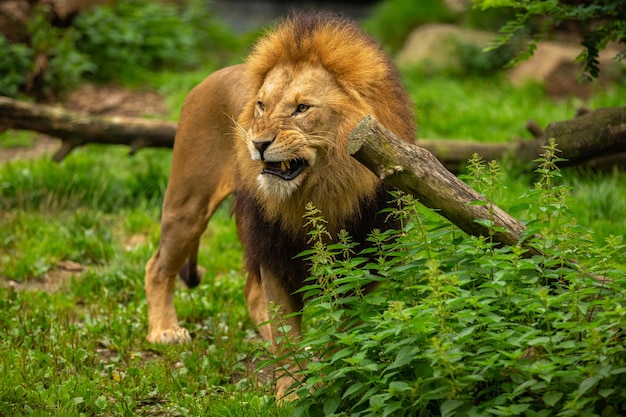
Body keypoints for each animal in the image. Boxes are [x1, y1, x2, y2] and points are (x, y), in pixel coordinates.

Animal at [144, 11, 416, 398]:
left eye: (302, 108)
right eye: (261, 106)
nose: (257, 143)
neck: (322, 194)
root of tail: (211, 76)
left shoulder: (365, 263)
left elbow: (343, 328)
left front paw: (329, 377)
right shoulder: (272, 249)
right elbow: (287, 333)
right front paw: (292, 395)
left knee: (249, 292)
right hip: (188, 204)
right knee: (158, 267)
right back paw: (165, 331)